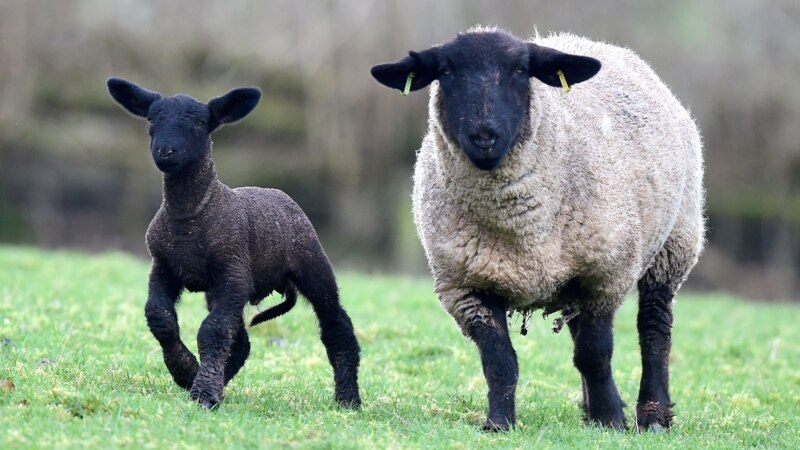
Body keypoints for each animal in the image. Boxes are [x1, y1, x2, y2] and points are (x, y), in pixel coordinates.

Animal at [106, 77, 361, 410]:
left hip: (311, 262)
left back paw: (348, 399)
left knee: (336, 324)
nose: (165, 151)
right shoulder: (163, 267)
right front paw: (186, 371)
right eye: (152, 120)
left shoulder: (233, 271)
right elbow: (160, 317)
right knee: (241, 342)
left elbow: (212, 330)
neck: (191, 217)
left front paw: (203, 392)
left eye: (201, 123)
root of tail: (276, 192)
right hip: (221, 288)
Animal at [370, 26, 704, 431]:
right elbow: (499, 361)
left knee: (654, 329)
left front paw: (611, 420)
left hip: (676, 243)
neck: (523, 230)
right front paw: (499, 423)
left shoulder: (606, 275)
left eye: (520, 70)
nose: (485, 137)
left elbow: (595, 355)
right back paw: (591, 411)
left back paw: (652, 415)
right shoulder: (466, 287)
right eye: (445, 72)